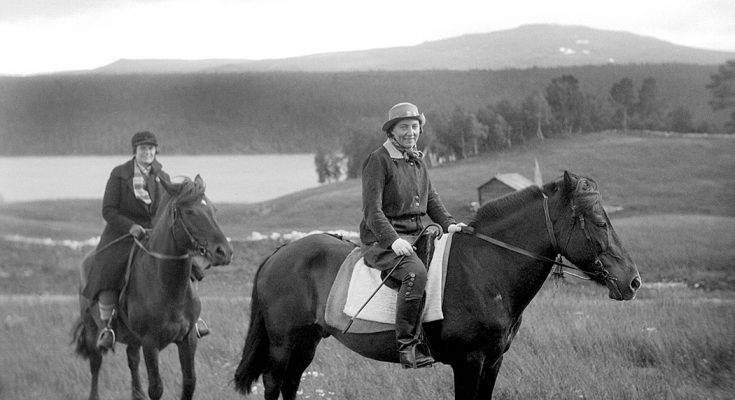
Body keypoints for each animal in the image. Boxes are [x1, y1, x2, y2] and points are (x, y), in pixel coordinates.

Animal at [71, 177, 233, 400]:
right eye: (189, 211)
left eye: (214, 210)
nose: (223, 252)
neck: (169, 288)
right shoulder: (150, 342)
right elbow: (156, 388)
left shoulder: (188, 339)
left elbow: (189, 383)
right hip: (92, 329)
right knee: (96, 364)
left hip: (132, 338)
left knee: (132, 360)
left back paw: (136, 394)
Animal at [234, 170, 640, 398]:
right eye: (599, 222)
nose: (632, 281)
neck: (486, 269)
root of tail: (279, 253)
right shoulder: (469, 361)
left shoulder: (493, 361)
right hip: (283, 342)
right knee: (274, 382)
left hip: (307, 340)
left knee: (291, 383)